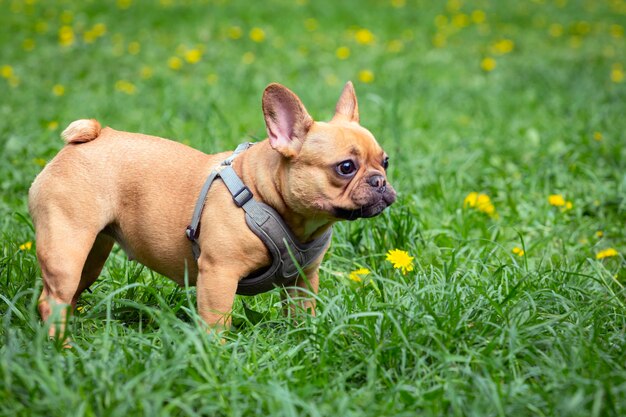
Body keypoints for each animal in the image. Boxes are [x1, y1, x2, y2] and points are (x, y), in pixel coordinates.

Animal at [29, 82, 394, 338]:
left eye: (386, 161)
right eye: (345, 167)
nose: (380, 181)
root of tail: (88, 139)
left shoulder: (303, 280)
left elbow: (303, 314)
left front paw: (306, 340)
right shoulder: (220, 273)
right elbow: (217, 323)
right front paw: (217, 356)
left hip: (93, 253)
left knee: (69, 294)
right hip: (67, 246)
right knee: (52, 299)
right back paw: (61, 348)